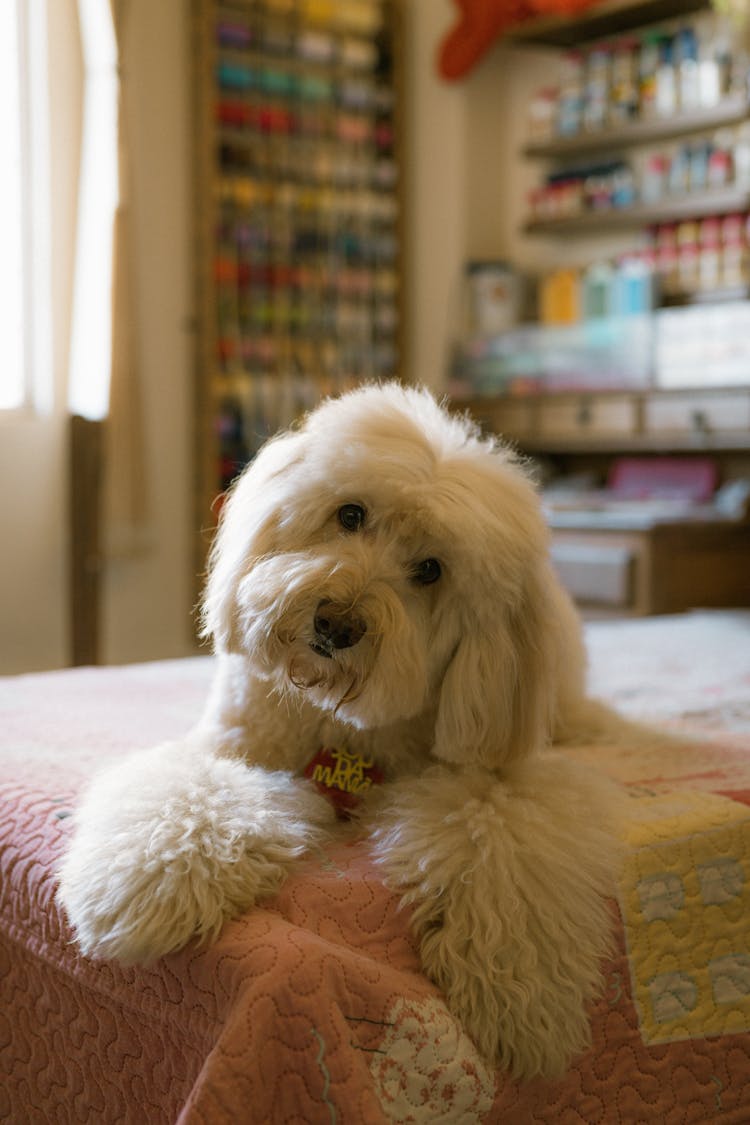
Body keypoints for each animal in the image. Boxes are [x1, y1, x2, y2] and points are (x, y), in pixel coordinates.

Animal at [58, 387, 625, 1080]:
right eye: (349, 514)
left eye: (431, 570)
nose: (336, 622)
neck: (337, 718)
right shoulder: (226, 750)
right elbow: (190, 797)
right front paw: (149, 887)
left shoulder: (495, 783)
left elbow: (502, 851)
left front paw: (526, 995)